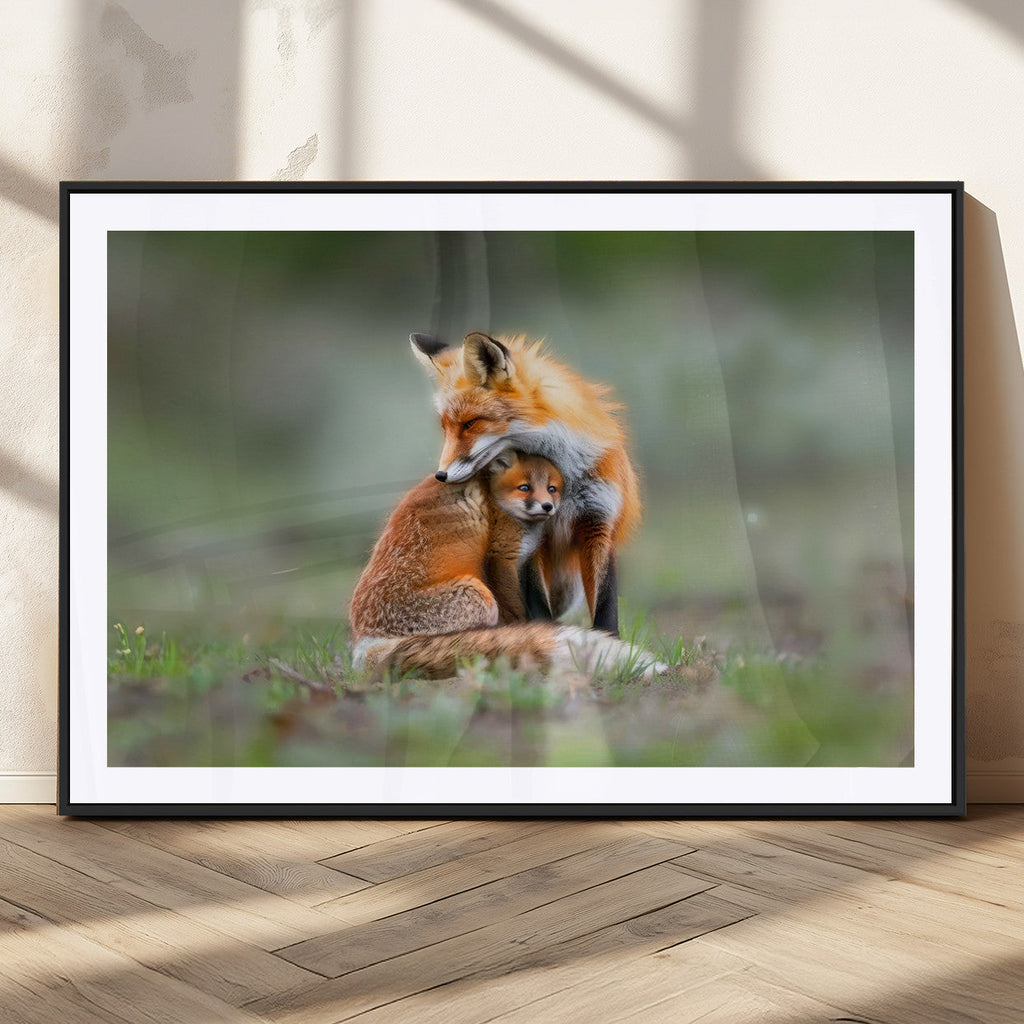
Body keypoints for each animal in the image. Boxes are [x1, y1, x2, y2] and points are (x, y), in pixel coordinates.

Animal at [349, 451, 662, 680]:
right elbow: (517, 609)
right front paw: (528, 634)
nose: (548, 507)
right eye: (524, 488)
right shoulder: (503, 555)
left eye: (552, 488)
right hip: (479, 596)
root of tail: (365, 642)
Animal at [411, 330, 641, 638]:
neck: (564, 479)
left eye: (470, 423)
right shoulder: (530, 535)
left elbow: (605, 606)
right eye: (445, 428)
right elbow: (537, 603)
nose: (441, 475)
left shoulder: (598, 523)